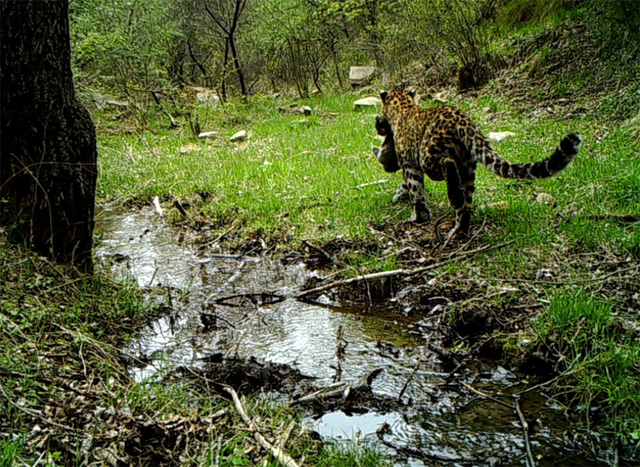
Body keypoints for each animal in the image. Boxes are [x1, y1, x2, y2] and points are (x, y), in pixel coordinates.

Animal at [378, 88, 584, 238]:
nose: (378, 123)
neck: (404, 107)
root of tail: (465, 121)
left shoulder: (409, 164)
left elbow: (415, 191)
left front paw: (418, 217)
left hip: (429, 157)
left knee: (448, 164)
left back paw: (455, 200)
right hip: (468, 166)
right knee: (467, 203)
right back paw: (459, 230)